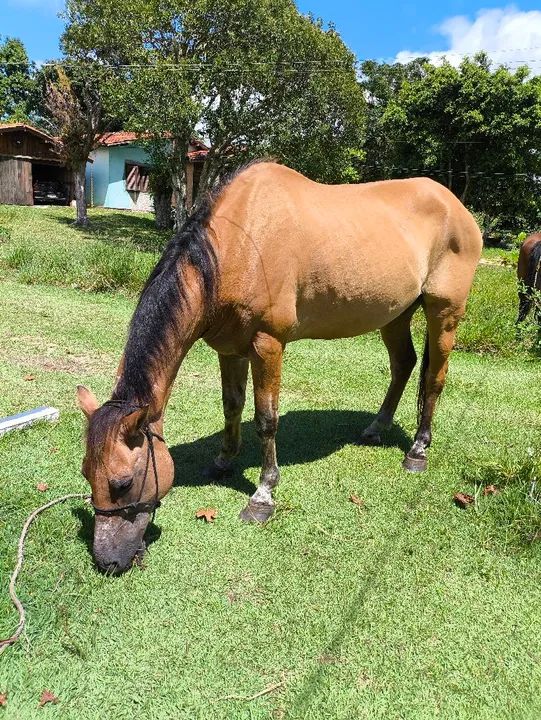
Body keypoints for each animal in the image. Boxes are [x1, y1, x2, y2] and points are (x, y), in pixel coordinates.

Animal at [77, 161, 482, 574]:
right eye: (86, 473)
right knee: (403, 365)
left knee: (433, 377)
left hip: (444, 313)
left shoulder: (268, 346)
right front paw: (223, 461)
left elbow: (266, 420)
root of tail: (456, 207)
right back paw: (376, 428)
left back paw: (417, 450)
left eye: (123, 482)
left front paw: (262, 496)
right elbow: (232, 406)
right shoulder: (230, 349)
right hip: (395, 314)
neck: (240, 243)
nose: (108, 561)